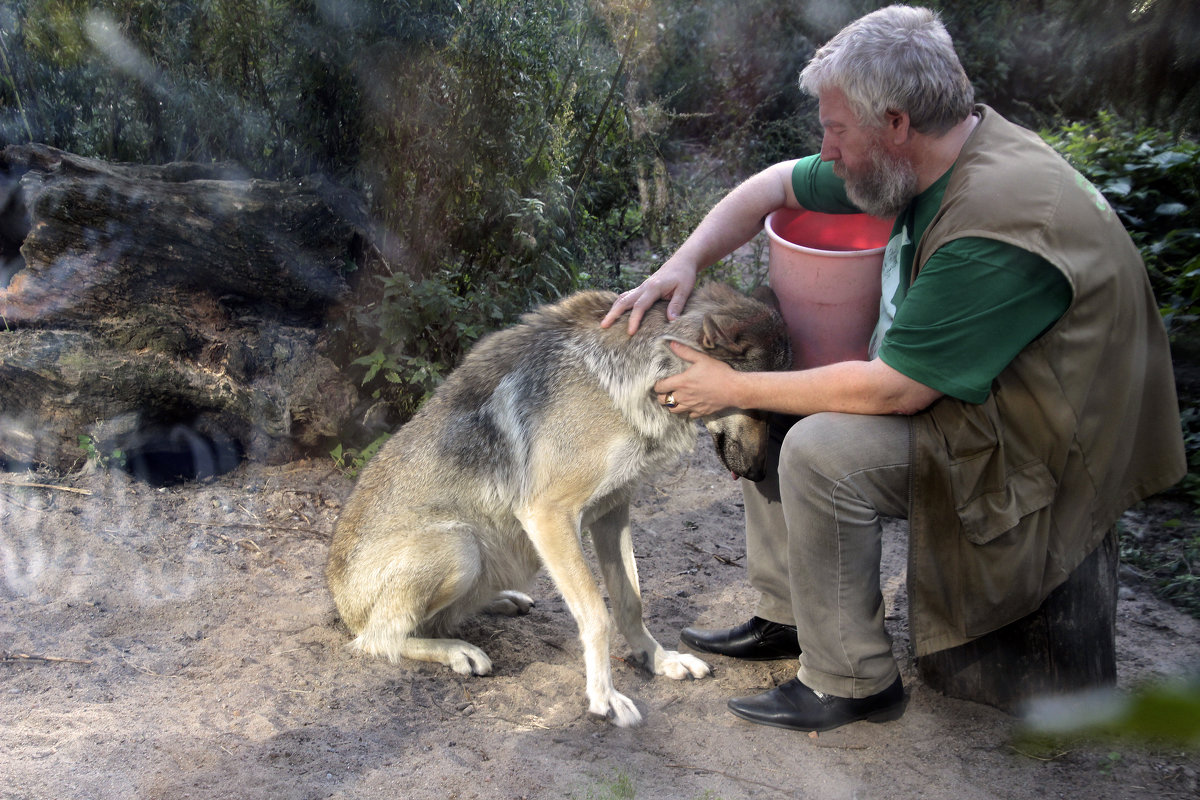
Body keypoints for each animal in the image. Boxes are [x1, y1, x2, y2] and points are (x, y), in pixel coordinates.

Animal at [328, 284, 792, 729]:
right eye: (752, 403)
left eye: (772, 406)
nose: (758, 473)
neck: (634, 378)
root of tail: (339, 598)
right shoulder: (549, 515)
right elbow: (598, 615)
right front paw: (605, 698)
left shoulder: (612, 512)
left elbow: (630, 602)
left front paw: (659, 661)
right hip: (460, 549)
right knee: (377, 640)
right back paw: (458, 650)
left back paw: (503, 601)